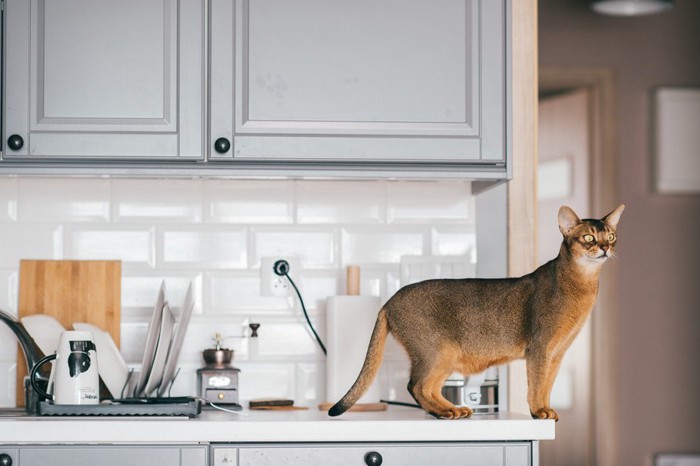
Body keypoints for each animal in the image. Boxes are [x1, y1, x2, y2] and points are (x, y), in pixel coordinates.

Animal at [328, 206, 624, 420]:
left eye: (610, 236)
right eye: (588, 237)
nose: (605, 248)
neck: (581, 285)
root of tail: (390, 299)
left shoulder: (557, 353)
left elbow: (548, 384)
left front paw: (547, 409)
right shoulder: (540, 349)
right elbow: (537, 384)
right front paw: (538, 411)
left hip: (446, 355)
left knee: (429, 386)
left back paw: (453, 408)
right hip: (434, 350)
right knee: (416, 385)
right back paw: (442, 412)